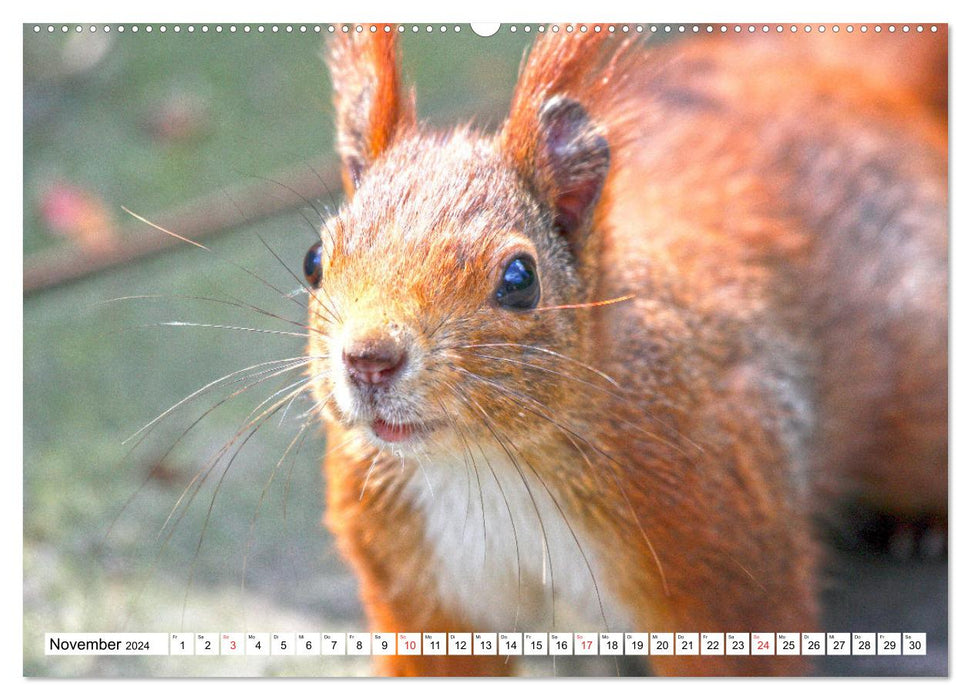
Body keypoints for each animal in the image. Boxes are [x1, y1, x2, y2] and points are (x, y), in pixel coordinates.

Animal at [300, 24, 944, 676]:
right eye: (314, 261)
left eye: (519, 280)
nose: (369, 360)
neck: (488, 460)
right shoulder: (418, 580)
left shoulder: (723, 547)